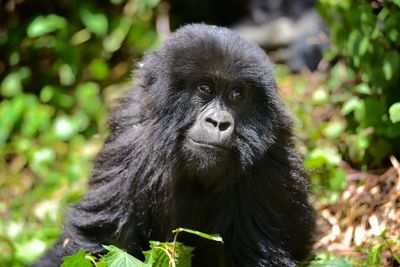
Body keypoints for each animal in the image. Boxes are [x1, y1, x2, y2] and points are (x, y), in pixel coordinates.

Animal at [32, 24, 316, 266]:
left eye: (237, 95)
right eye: (205, 88)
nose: (218, 122)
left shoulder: (270, 163)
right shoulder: (129, 143)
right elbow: (99, 242)